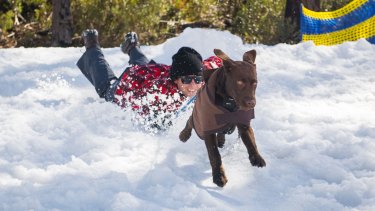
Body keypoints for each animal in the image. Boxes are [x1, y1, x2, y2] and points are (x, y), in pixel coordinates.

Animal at [180, 48, 266, 187]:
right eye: (239, 82)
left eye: (255, 83)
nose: (251, 103)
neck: (229, 103)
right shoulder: (207, 128)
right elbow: (215, 156)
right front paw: (219, 176)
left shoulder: (243, 124)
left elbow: (251, 142)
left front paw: (256, 158)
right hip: (198, 120)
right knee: (190, 120)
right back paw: (184, 134)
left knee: (222, 131)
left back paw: (221, 140)